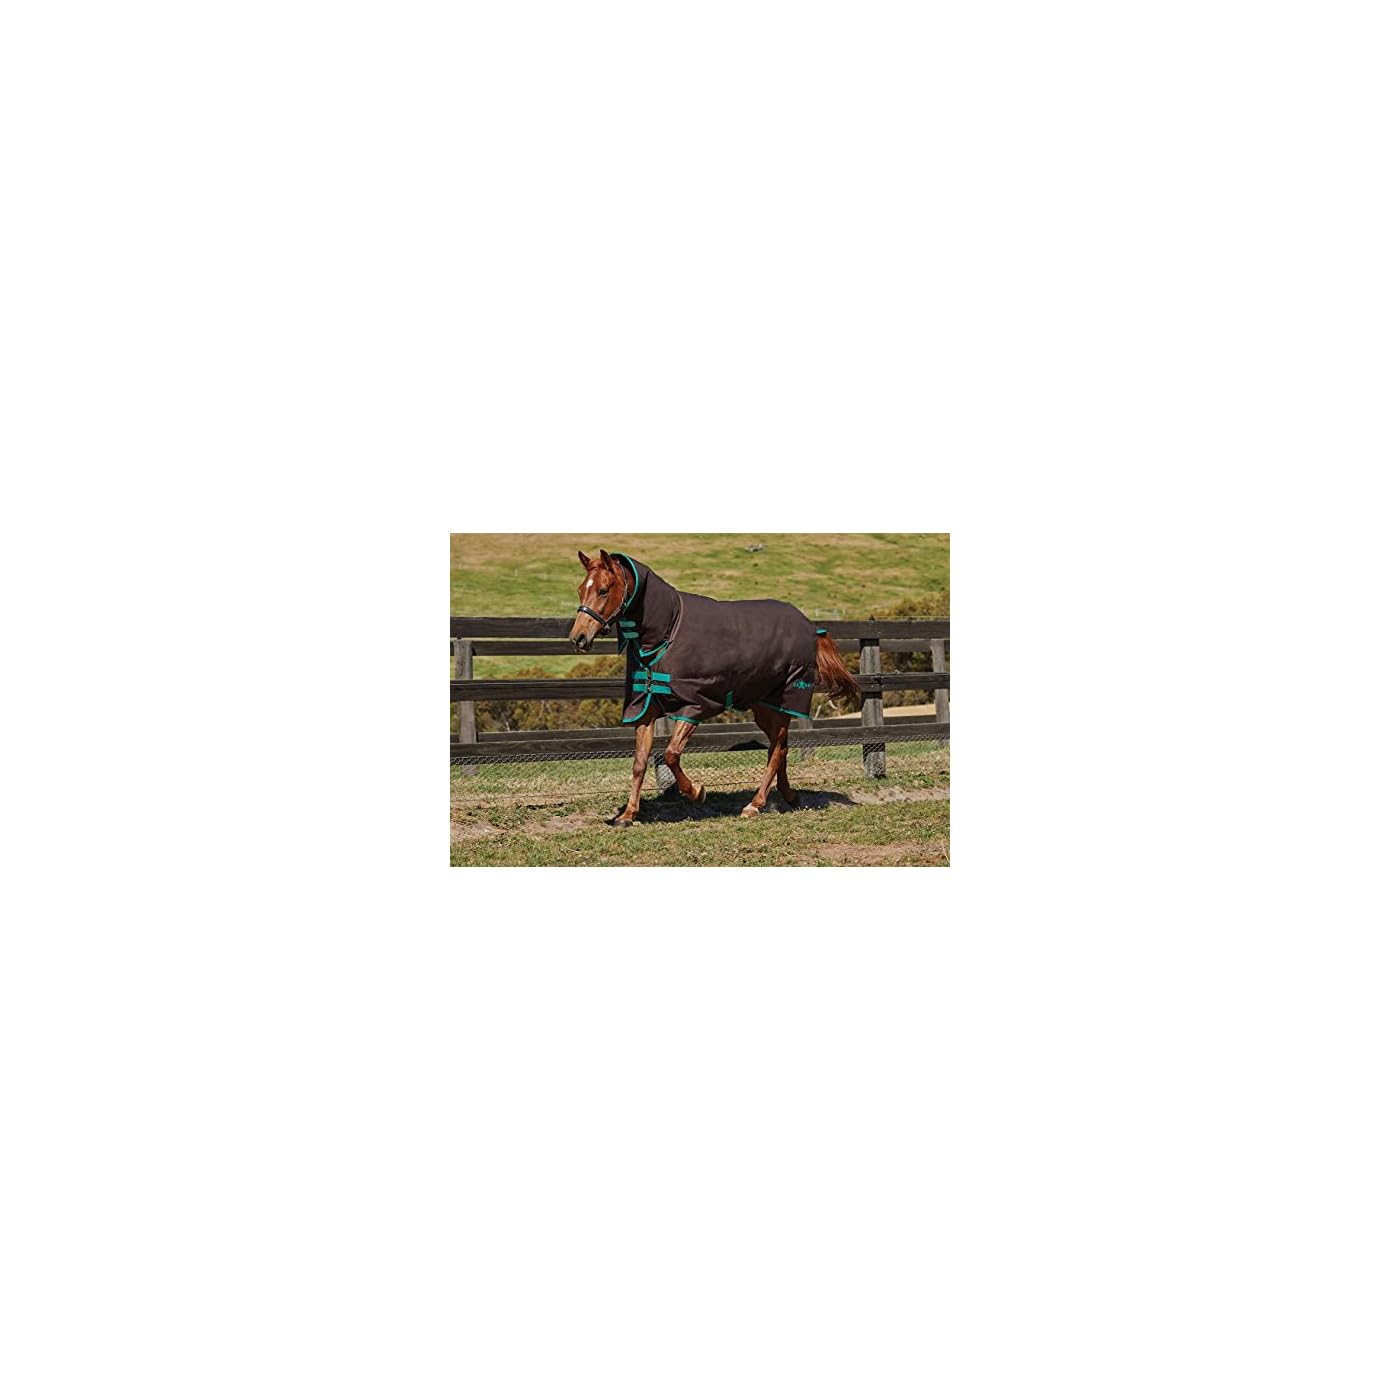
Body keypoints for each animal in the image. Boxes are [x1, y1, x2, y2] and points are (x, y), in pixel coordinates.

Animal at [568, 549, 862, 826]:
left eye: (603, 590)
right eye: (581, 589)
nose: (578, 638)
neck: (668, 632)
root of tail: (813, 627)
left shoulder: (696, 706)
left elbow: (671, 754)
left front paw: (697, 792)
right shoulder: (645, 709)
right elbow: (640, 762)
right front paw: (628, 815)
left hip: (783, 700)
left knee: (778, 749)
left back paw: (754, 804)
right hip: (764, 706)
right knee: (780, 748)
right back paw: (788, 796)